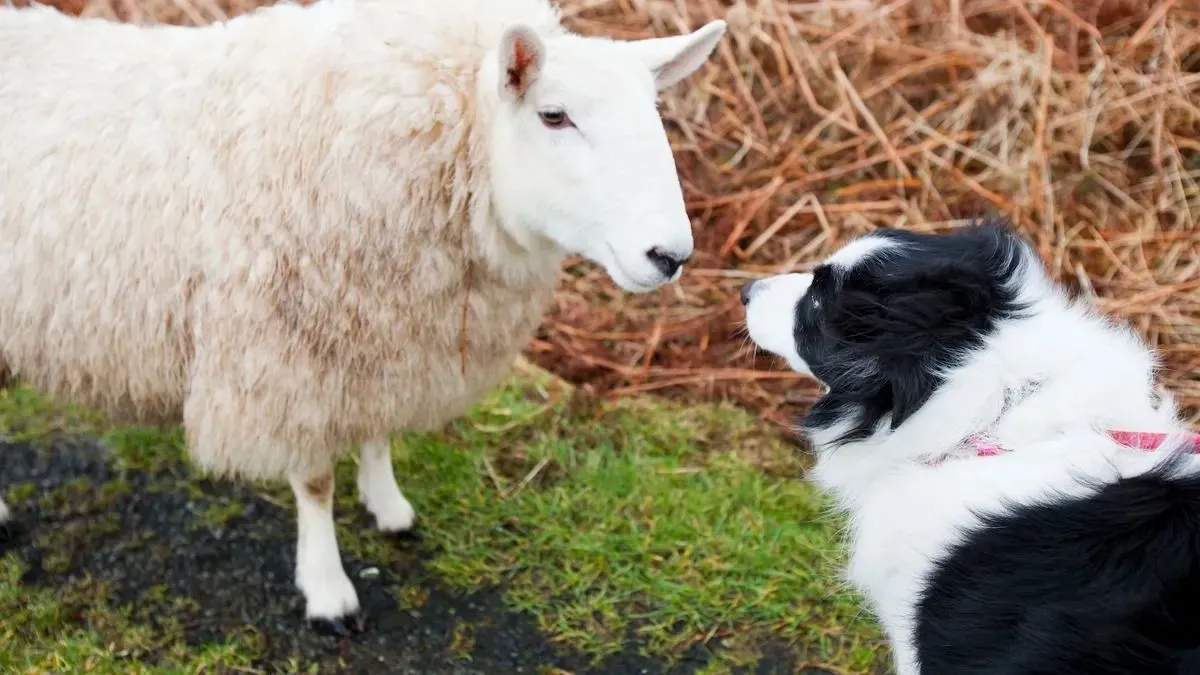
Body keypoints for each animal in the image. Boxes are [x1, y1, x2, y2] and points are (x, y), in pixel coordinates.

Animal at [0, 0, 724, 629]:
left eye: (653, 114)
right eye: (553, 115)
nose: (670, 255)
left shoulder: (385, 328)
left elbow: (378, 430)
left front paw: (388, 504)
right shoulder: (286, 355)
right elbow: (316, 480)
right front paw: (328, 590)